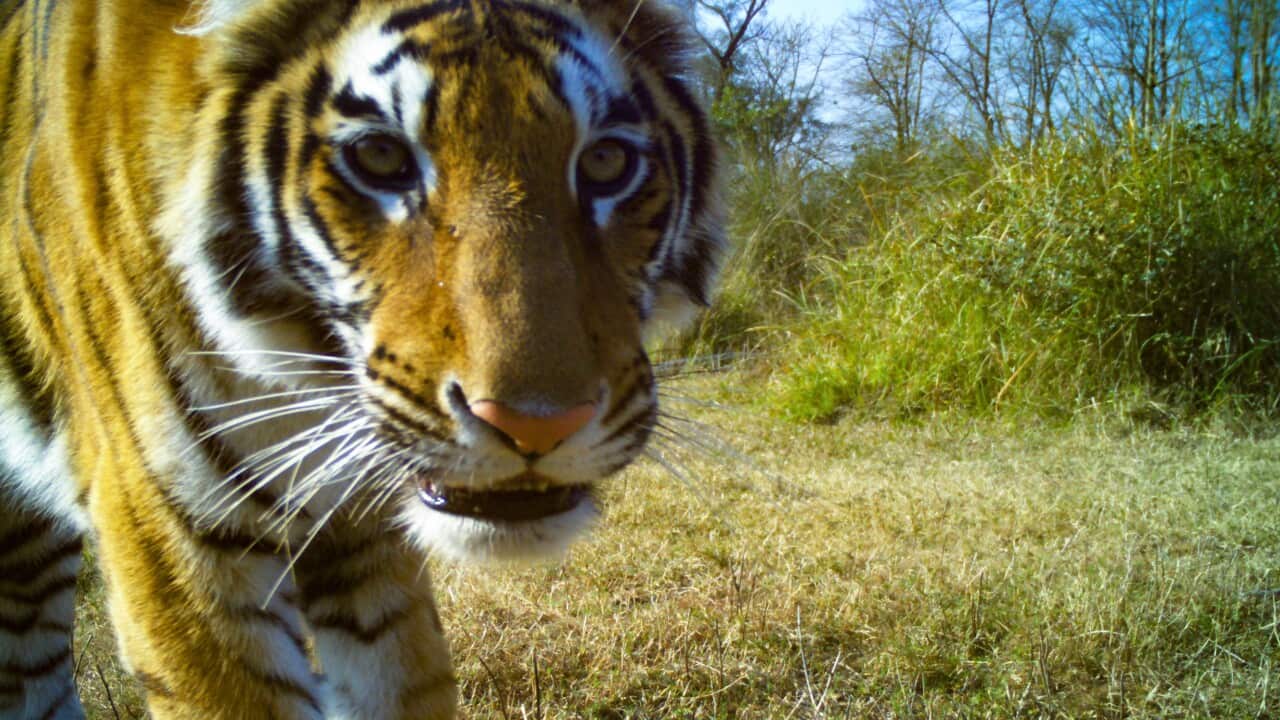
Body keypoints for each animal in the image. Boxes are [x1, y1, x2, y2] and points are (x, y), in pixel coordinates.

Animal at [0, 0, 723, 716]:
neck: (301, 375)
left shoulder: (366, 535)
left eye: (605, 162)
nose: (535, 425)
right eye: (379, 156)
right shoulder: (168, 529)